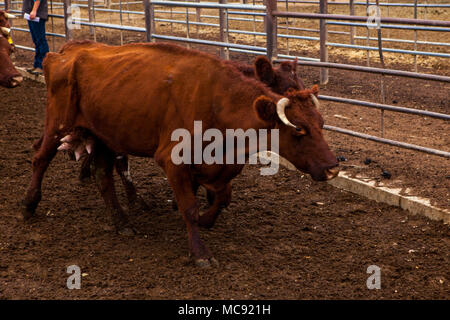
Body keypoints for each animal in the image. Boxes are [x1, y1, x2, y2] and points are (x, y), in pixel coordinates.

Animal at [22, 42, 338, 268]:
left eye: (321, 124)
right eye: (299, 130)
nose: (333, 167)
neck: (215, 103)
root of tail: (62, 54)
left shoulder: (218, 165)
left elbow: (222, 197)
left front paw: (207, 220)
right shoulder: (173, 161)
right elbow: (189, 207)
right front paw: (199, 252)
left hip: (104, 136)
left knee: (104, 177)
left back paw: (122, 221)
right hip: (58, 123)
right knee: (41, 158)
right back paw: (29, 204)